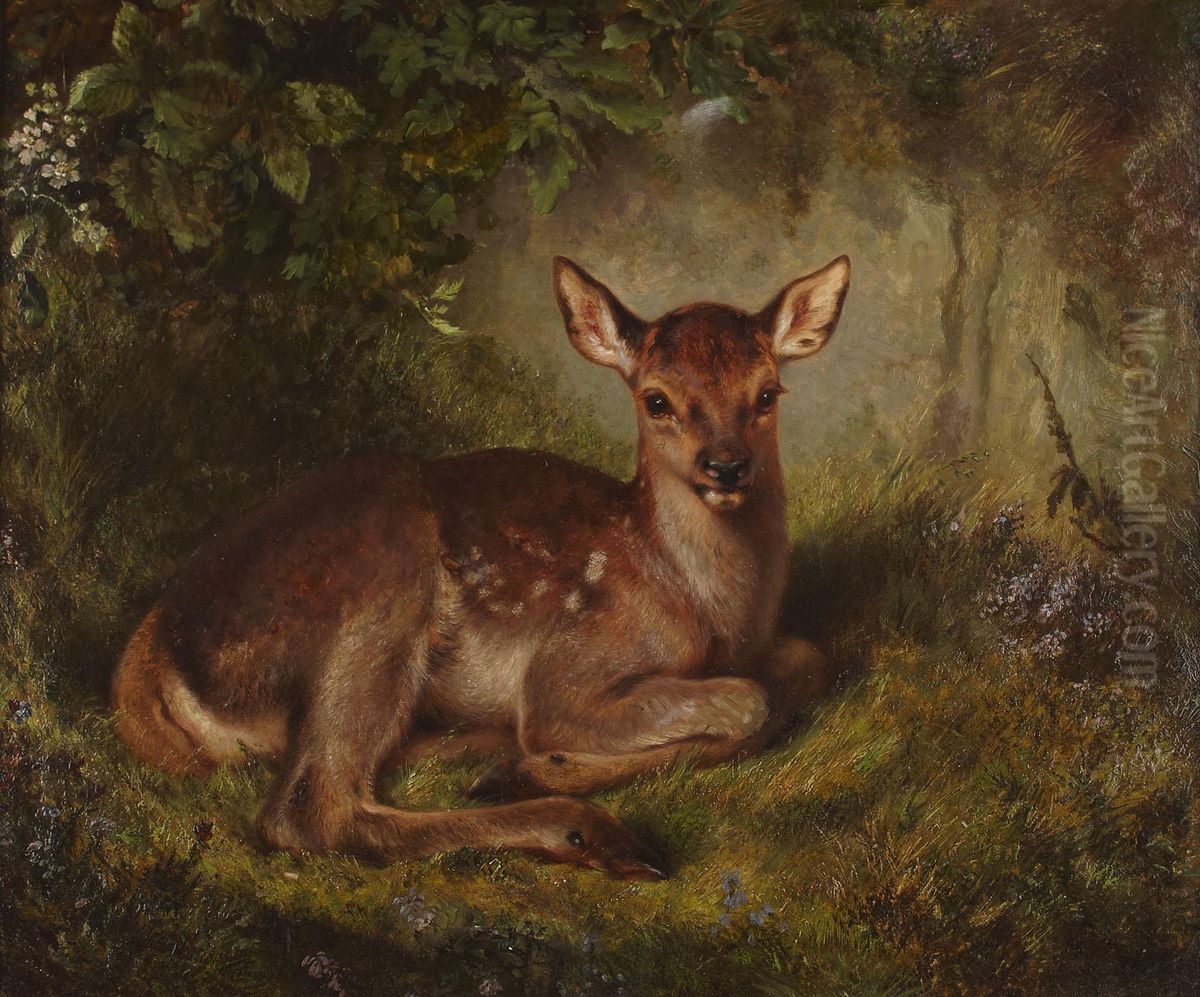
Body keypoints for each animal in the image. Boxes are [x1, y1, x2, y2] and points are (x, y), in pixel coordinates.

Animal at [112, 254, 850, 880]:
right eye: (657, 399)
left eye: (768, 392)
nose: (726, 465)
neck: (706, 609)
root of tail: (152, 654)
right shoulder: (568, 665)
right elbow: (747, 697)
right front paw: (545, 765)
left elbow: (807, 663)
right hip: (386, 570)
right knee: (312, 810)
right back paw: (589, 830)